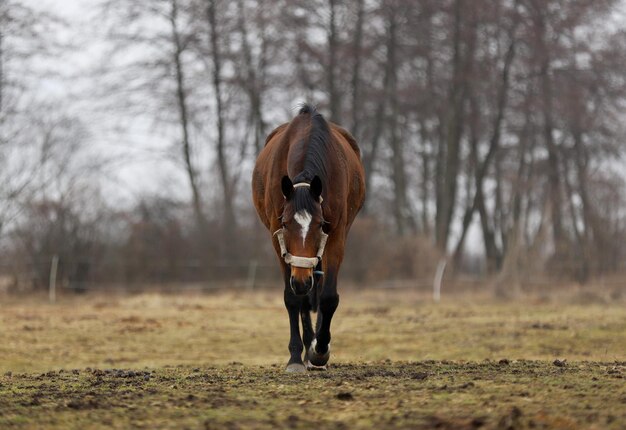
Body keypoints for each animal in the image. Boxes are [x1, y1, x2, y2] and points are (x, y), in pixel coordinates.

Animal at [250, 104, 364, 372]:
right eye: (284, 223)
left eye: (320, 224)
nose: (301, 280)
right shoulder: (277, 239)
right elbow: (293, 298)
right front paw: (295, 357)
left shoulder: (336, 235)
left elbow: (328, 296)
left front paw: (320, 350)